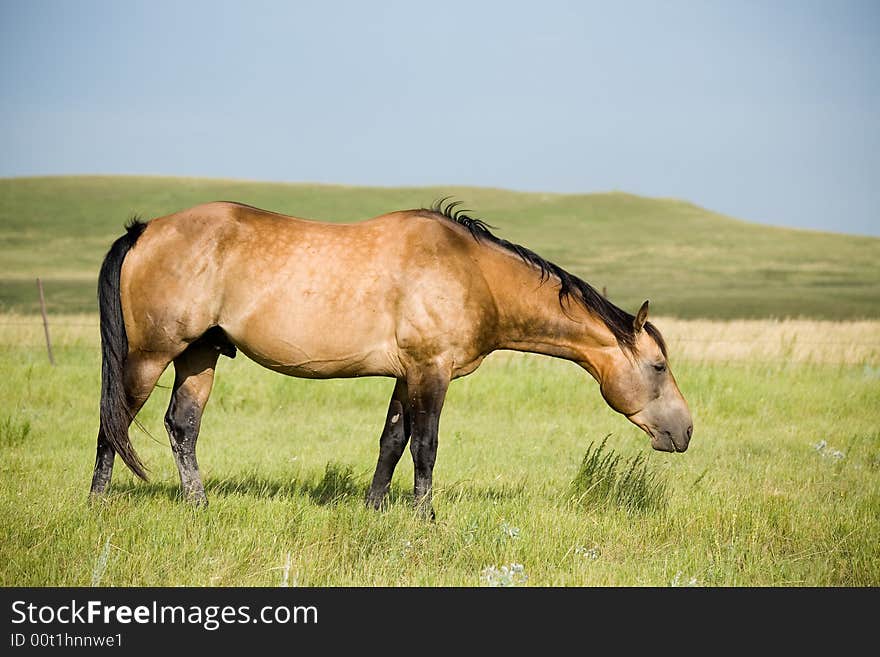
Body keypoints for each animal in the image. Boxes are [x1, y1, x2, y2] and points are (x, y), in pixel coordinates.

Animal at [91, 197, 696, 516]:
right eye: (659, 367)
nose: (685, 431)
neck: (473, 273)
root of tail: (145, 231)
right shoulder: (432, 372)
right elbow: (425, 446)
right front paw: (423, 517)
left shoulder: (408, 375)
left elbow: (392, 441)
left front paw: (375, 509)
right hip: (149, 355)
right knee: (113, 422)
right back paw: (98, 501)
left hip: (199, 355)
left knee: (182, 425)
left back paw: (198, 504)